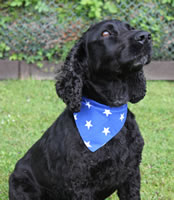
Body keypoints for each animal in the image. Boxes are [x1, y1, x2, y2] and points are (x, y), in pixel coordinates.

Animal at [8, 19, 152, 200]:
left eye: (131, 28)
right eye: (106, 33)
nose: (146, 36)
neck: (109, 110)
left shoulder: (131, 175)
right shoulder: (80, 184)